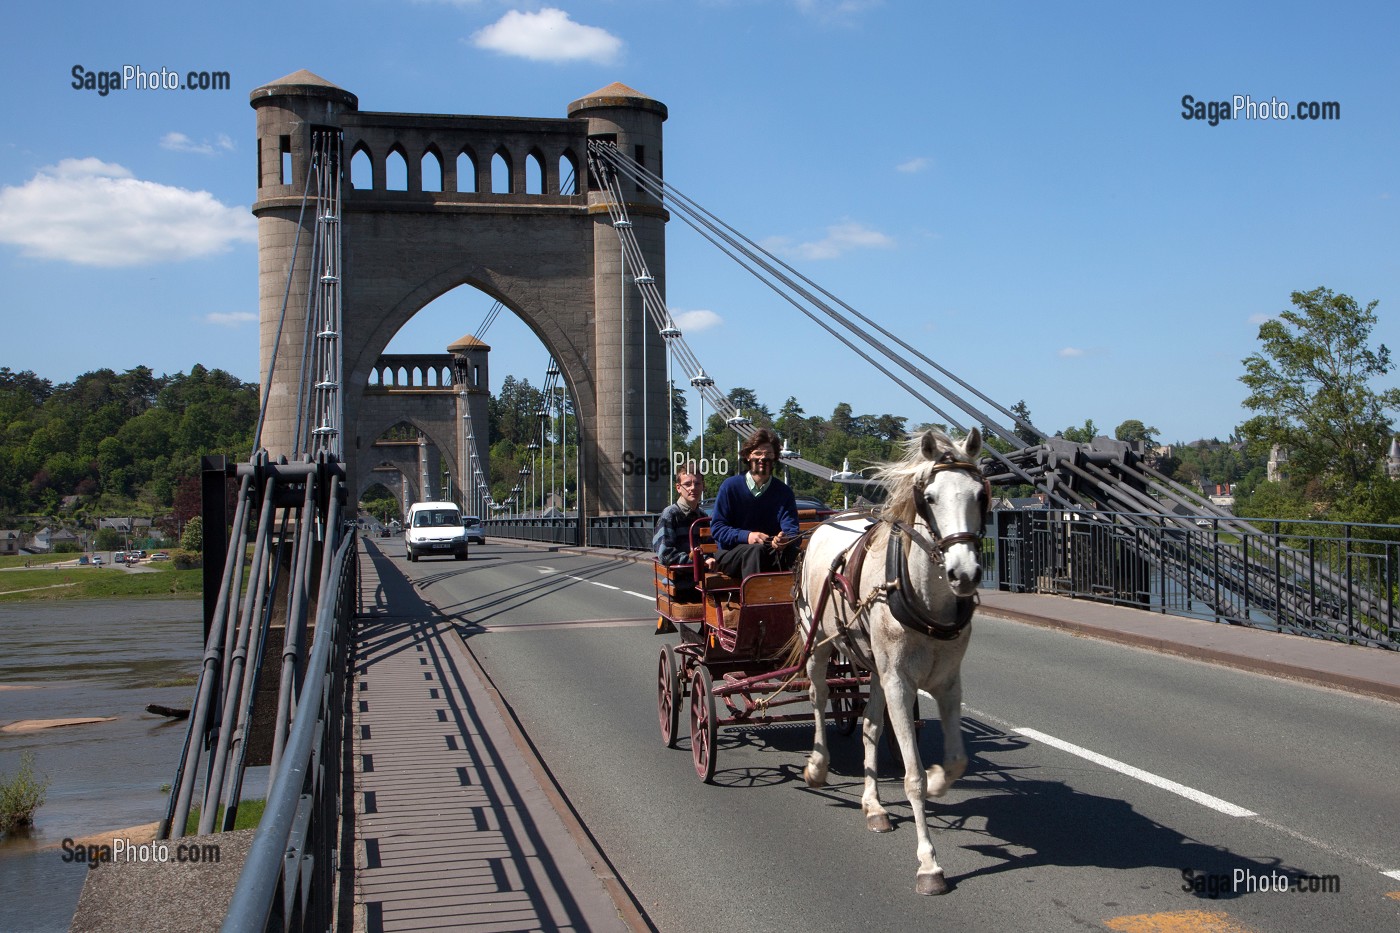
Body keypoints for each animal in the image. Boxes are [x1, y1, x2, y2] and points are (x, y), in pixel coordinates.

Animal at [800, 428, 985, 896]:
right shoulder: (901, 681)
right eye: (930, 498)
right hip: (819, 643)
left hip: (876, 666)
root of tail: (830, 519)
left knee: (868, 724)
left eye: (980, 493)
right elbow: (912, 775)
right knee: (818, 696)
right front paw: (929, 864)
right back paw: (816, 767)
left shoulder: (947, 681)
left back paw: (873, 806)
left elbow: (955, 762)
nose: (964, 573)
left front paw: (939, 780)